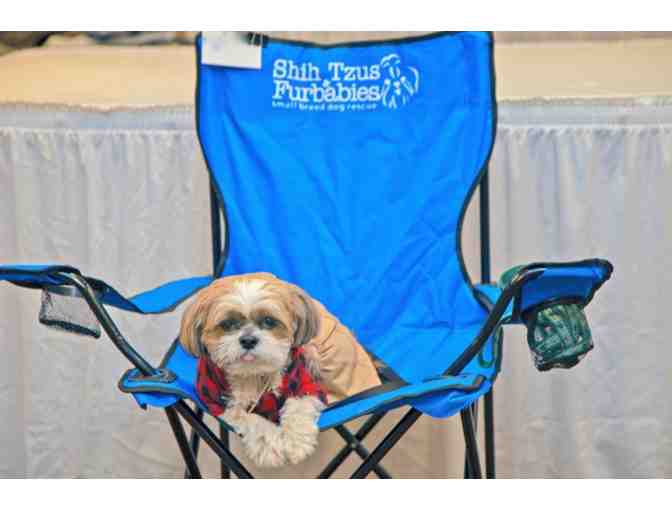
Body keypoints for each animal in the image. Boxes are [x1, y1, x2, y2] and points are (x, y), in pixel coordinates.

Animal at [177, 272, 330, 468]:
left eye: (269, 321)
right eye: (227, 324)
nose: (248, 340)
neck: (254, 375)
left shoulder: (306, 384)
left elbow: (299, 407)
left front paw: (296, 443)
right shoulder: (218, 404)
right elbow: (250, 420)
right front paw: (269, 446)